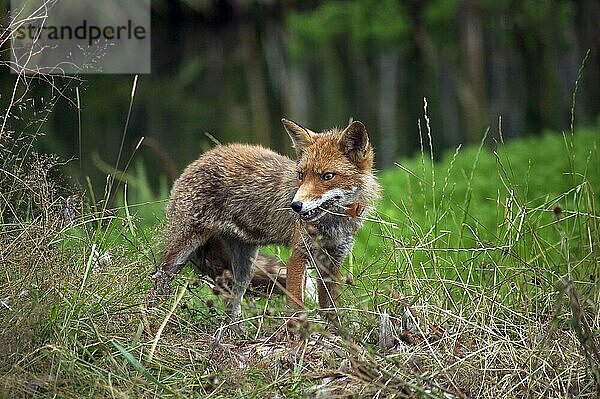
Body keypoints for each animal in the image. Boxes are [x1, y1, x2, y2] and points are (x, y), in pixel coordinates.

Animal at [148, 118, 378, 318]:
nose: (295, 206)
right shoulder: (298, 255)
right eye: (301, 175)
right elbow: (296, 310)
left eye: (327, 176)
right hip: (179, 252)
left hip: (243, 269)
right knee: (157, 284)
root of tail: (201, 158)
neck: (333, 224)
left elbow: (331, 311)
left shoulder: (333, 261)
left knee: (232, 304)